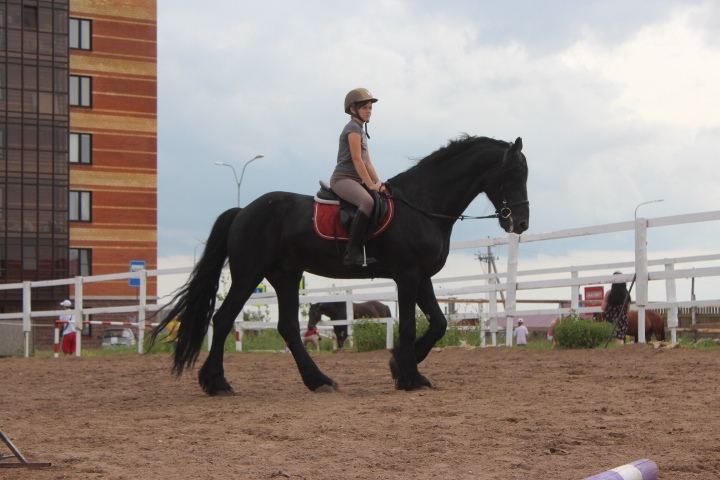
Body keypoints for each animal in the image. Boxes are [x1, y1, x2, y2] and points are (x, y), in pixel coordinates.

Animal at [150, 135, 529, 395]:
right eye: (512, 172)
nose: (521, 223)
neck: (422, 205)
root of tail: (243, 211)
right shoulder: (407, 276)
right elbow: (409, 326)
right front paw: (409, 376)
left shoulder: (422, 278)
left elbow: (437, 323)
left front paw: (400, 367)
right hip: (249, 274)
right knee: (224, 319)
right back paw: (217, 383)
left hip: (285, 275)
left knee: (289, 328)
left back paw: (318, 381)